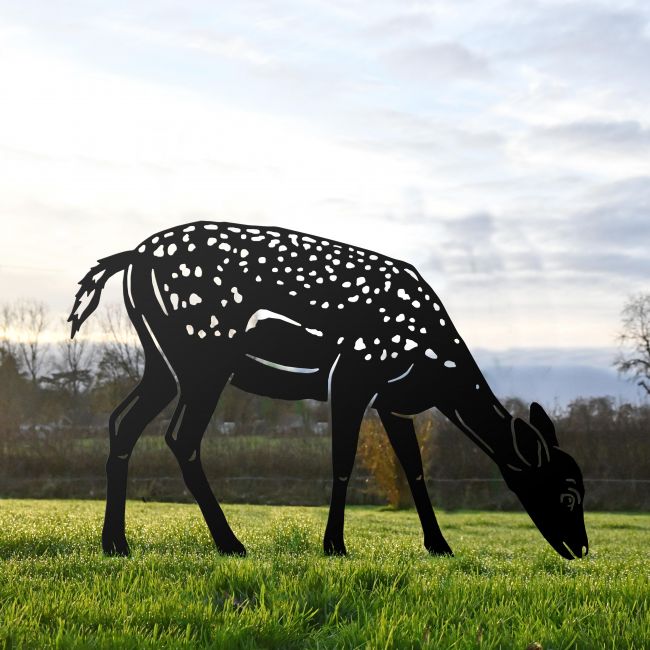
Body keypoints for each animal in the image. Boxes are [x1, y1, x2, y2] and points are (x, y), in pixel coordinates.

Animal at [69, 221, 588, 560]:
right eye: (567, 494)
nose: (581, 549)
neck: (434, 374)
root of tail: (131, 258)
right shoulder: (352, 374)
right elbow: (343, 460)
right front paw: (335, 546)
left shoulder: (393, 403)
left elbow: (414, 468)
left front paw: (440, 546)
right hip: (204, 351)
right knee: (180, 437)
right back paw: (231, 545)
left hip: (163, 360)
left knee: (122, 421)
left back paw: (116, 544)